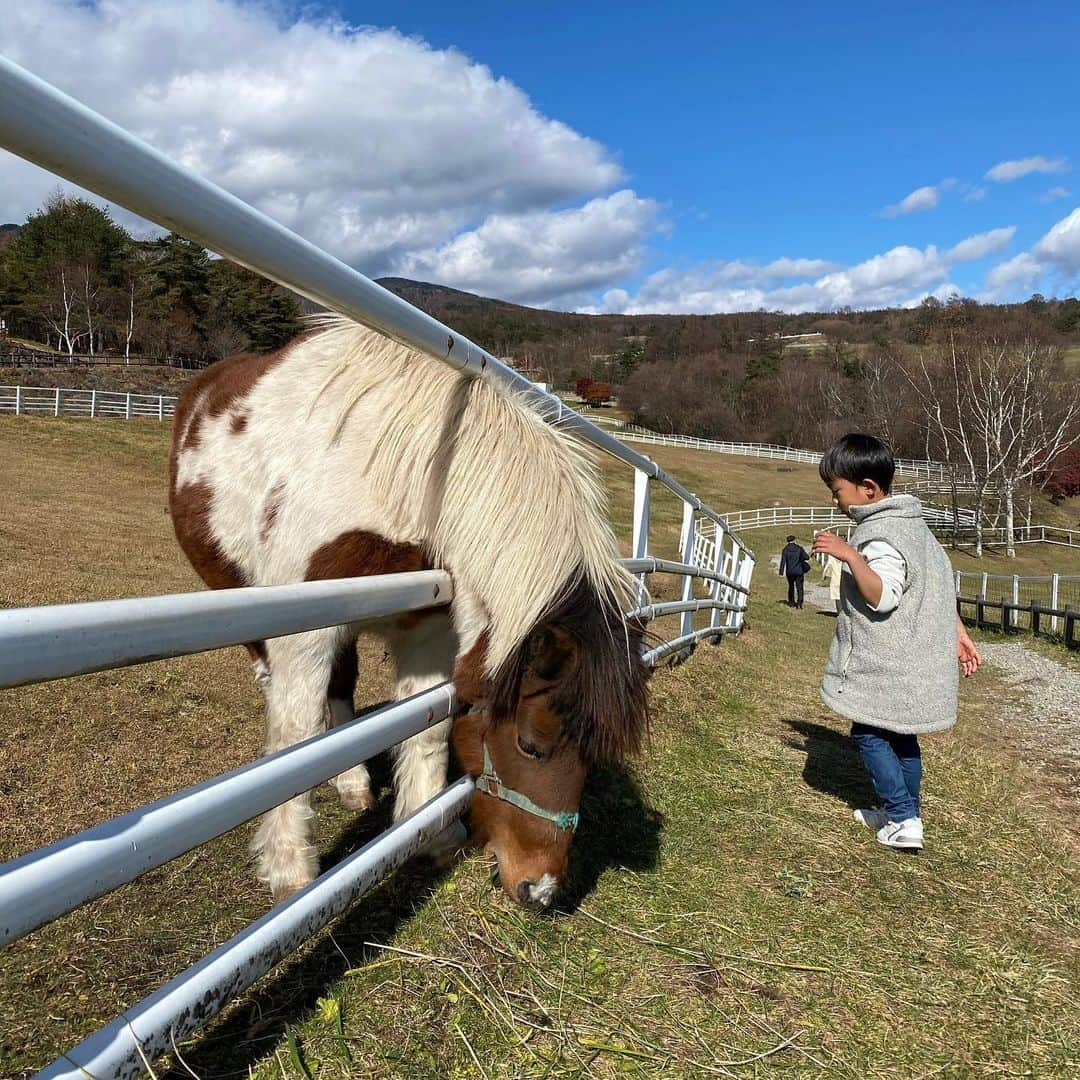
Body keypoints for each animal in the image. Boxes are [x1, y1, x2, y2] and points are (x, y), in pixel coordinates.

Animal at [164, 317, 643, 902]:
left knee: (341, 687)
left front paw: (431, 834)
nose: (541, 889)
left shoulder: (430, 629)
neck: (407, 472)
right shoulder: (305, 631)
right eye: (530, 745)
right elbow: (295, 738)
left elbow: (427, 729)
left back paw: (353, 784)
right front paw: (290, 870)